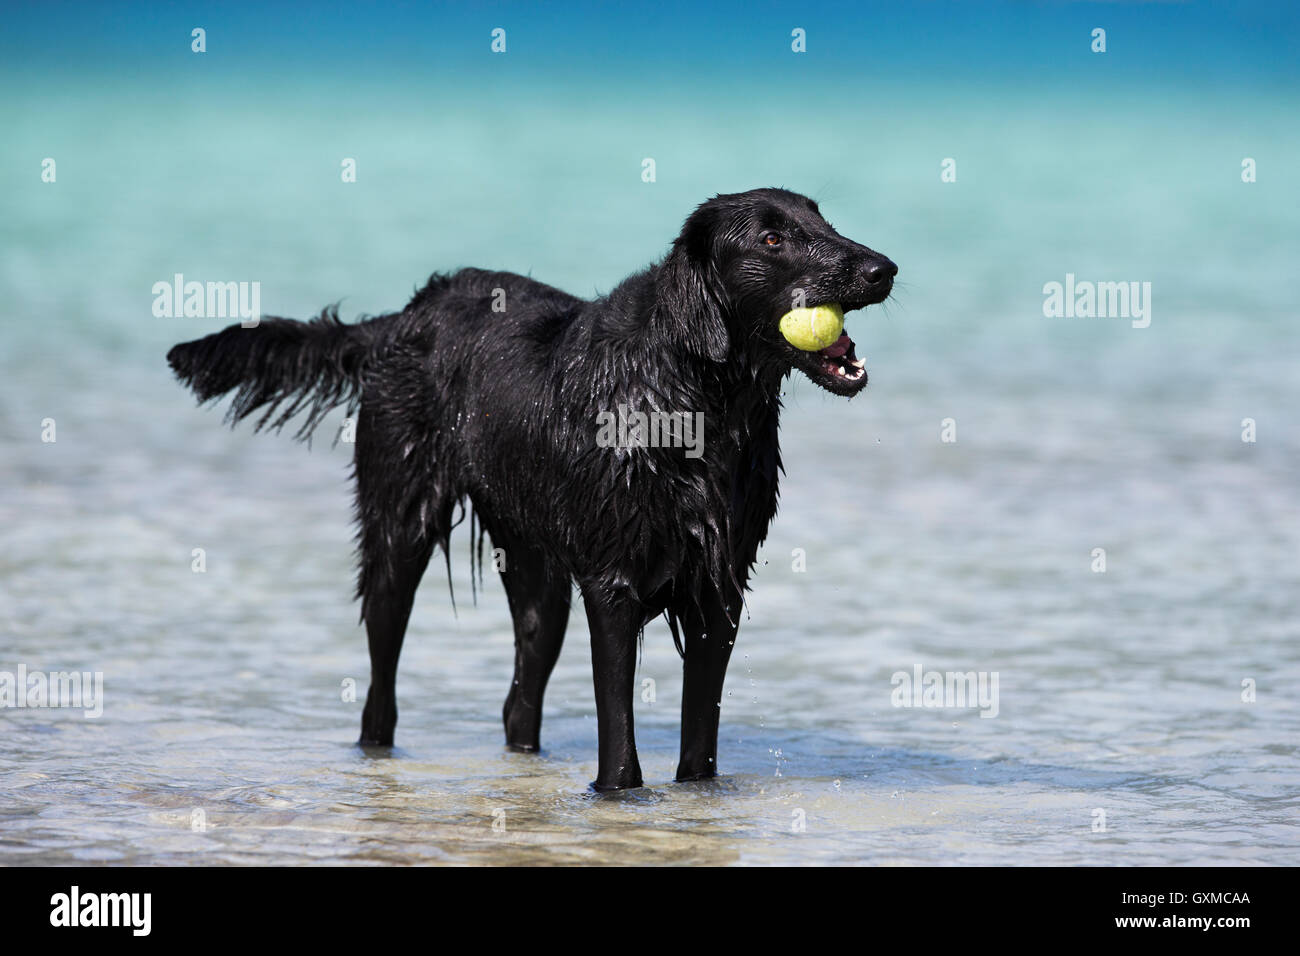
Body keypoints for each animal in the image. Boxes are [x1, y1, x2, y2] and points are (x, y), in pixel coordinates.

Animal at [170, 188, 894, 790]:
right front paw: (616, 795)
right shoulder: (613, 585)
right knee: (382, 684)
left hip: (537, 572)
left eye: (823, 221)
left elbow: (700, 743)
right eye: (772, 239)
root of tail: (409, 312)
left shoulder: (719, 588)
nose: (882, 268)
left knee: (519, 700)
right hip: (400, 529)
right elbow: (619, 738)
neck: (690, 399)